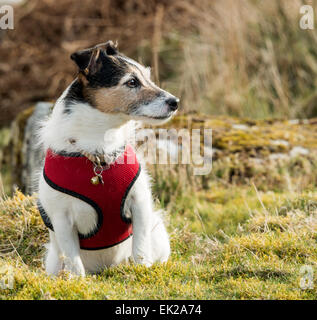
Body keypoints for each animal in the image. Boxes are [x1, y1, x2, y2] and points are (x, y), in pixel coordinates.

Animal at [37, 40, 178, 276]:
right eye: (132, 82)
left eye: (148, 78)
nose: (175, 102)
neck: (100, 152)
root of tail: (105, 268)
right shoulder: (61, 219)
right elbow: (73, 259)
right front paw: (77, 280)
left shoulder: (140, 203)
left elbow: (140, 245)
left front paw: (143, 269)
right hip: (54, 260)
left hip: (157, 232)